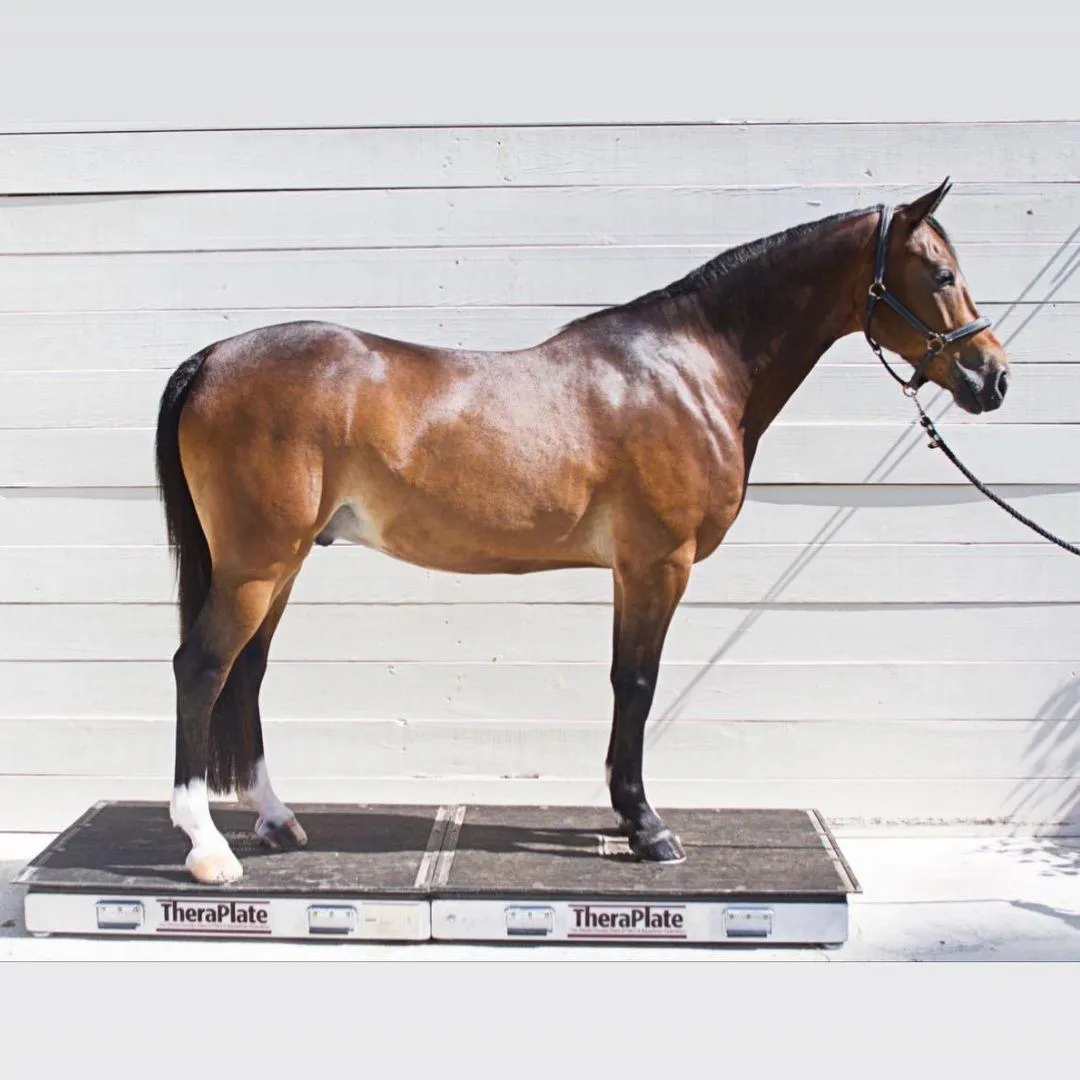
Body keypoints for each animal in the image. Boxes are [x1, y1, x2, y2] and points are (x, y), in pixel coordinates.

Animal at [154, 177, 1009, 885]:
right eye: (940, 275)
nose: (992, 378)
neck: (690, 367)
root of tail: (212, 358)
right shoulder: (657, 564)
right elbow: (637, 684)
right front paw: (646, 827)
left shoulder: (637, 569)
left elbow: (627, 682)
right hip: (258, 563)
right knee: (201, 668)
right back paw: (207, 847)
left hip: (282, 562)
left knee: (247, 672)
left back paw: (275, 819)